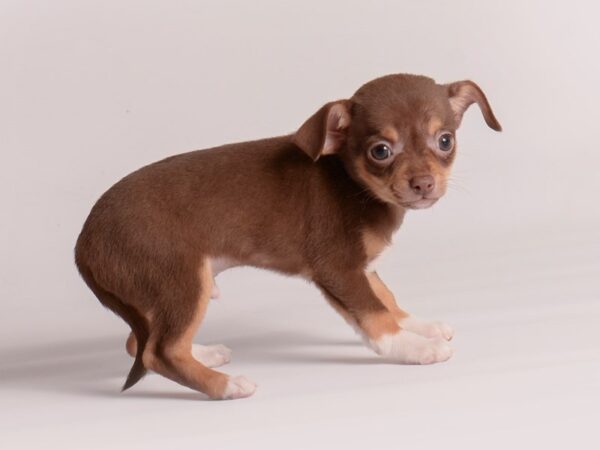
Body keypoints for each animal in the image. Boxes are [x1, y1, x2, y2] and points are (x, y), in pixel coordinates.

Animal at [75, 74, 502, 400]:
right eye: (380, 151)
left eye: (445, 141)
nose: (423, 184)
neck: (355, 185)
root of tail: (84, 241)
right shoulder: (338, 269)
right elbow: (375, 316)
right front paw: (414, 347)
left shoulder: (363, 266)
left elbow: (387, 298)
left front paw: (420, 326)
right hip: (182, 283)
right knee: (159, 352)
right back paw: (225, 386)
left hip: (160, 297)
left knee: (140, 343)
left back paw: (205, 355)